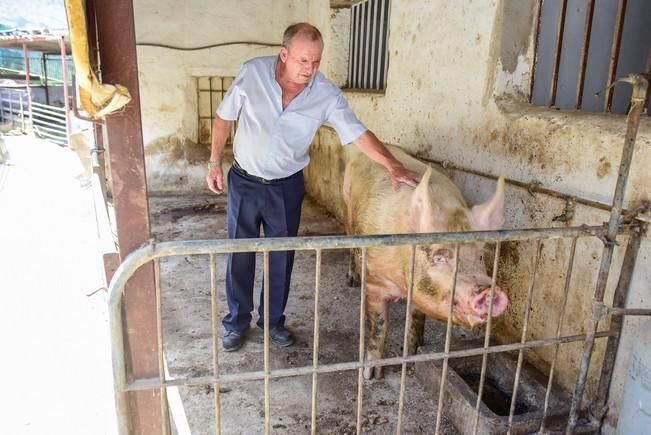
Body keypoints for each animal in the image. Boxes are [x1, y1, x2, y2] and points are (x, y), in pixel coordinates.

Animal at [342, 146, 510, 378]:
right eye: (439, 257)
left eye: (481, 256)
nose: (488, 290)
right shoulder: (375, 282)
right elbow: (379, 325)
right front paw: (371, 375)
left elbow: (415, 322)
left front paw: (411, 365)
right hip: (347, 207)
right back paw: (352, 280)